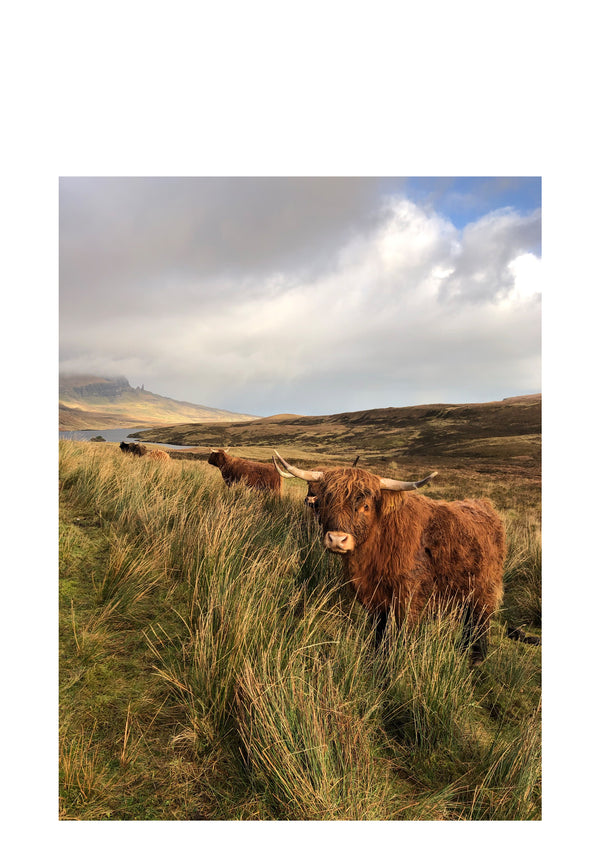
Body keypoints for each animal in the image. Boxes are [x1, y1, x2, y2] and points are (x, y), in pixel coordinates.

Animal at [274, 450, 536, 660]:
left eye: (365, 506)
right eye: (328, 501)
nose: (337, 539)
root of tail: (485, 506)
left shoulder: (407, 595)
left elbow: (398, 634)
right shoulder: (375, 597)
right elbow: (380, 631)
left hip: (485, 586)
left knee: (480, 620)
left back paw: (476, 657)